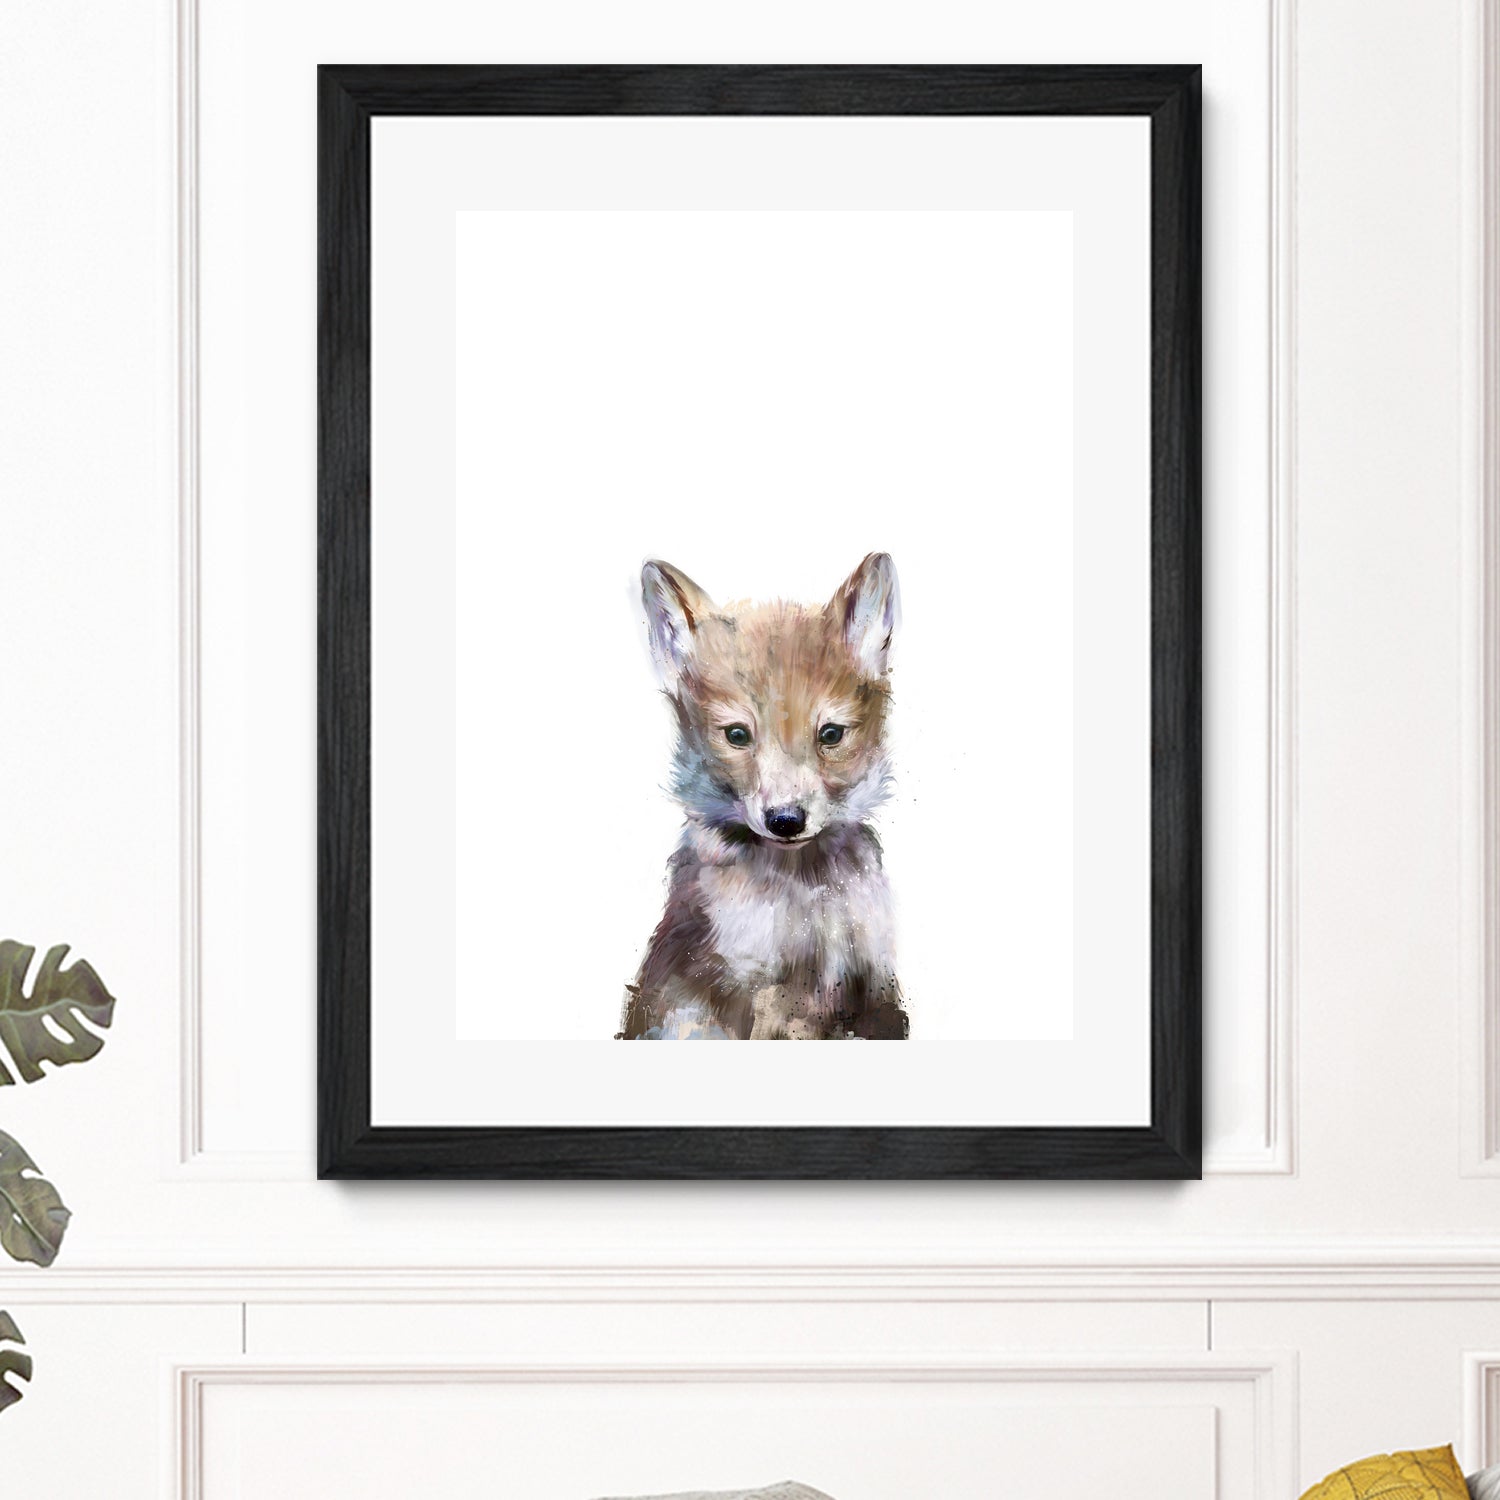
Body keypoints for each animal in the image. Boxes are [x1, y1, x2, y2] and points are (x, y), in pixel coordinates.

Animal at [619, 553, 908, 1040]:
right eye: (737, 735)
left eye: (831, 734)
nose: (786, 821)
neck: (804, 895)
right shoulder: (753, 987)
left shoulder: (872, 983)